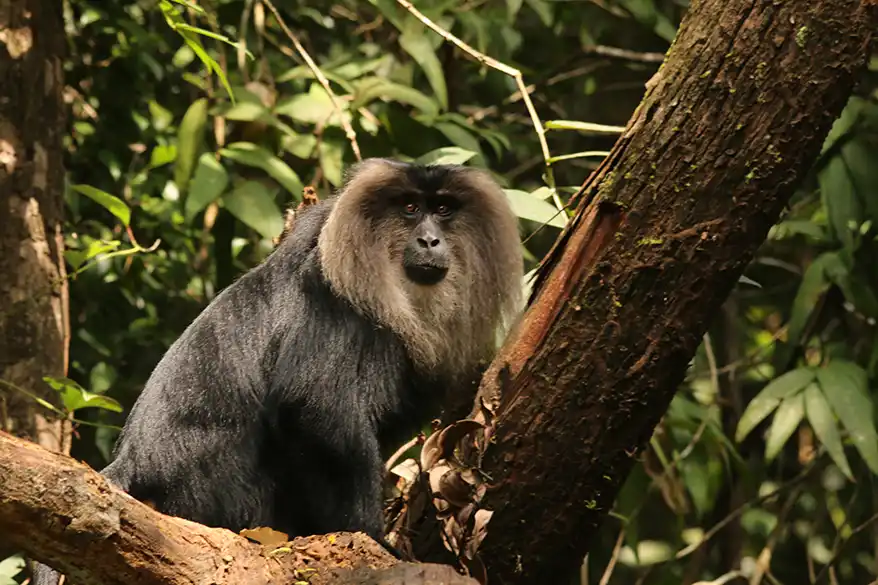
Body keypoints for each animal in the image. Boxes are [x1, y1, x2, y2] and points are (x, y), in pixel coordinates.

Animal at [30, 158, 523, 585]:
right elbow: (316, 409)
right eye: (409, 208)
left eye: (443, 210)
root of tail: (134, 464)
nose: (429, 241)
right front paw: (371, 539)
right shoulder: (332, 302)